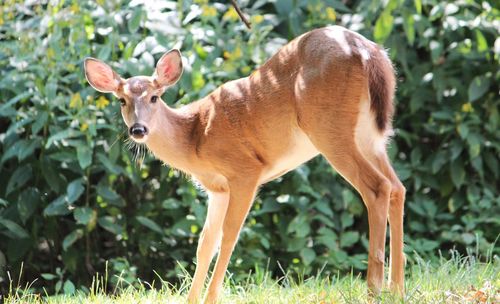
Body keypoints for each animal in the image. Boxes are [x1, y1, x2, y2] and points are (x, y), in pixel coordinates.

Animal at [84, 25, 406, 302]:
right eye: (121, 101)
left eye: (154, 97)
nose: (138, 130)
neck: (195, 136)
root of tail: (369, 53)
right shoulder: (217, 189)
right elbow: (205, 243)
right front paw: (192, 299)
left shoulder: (244, 171)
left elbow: (229, 237)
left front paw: (211, 298)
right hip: (370, 135)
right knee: (397, 187)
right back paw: (396, 290)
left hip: (328, 127)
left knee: (377, 187)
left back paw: (374, 292)